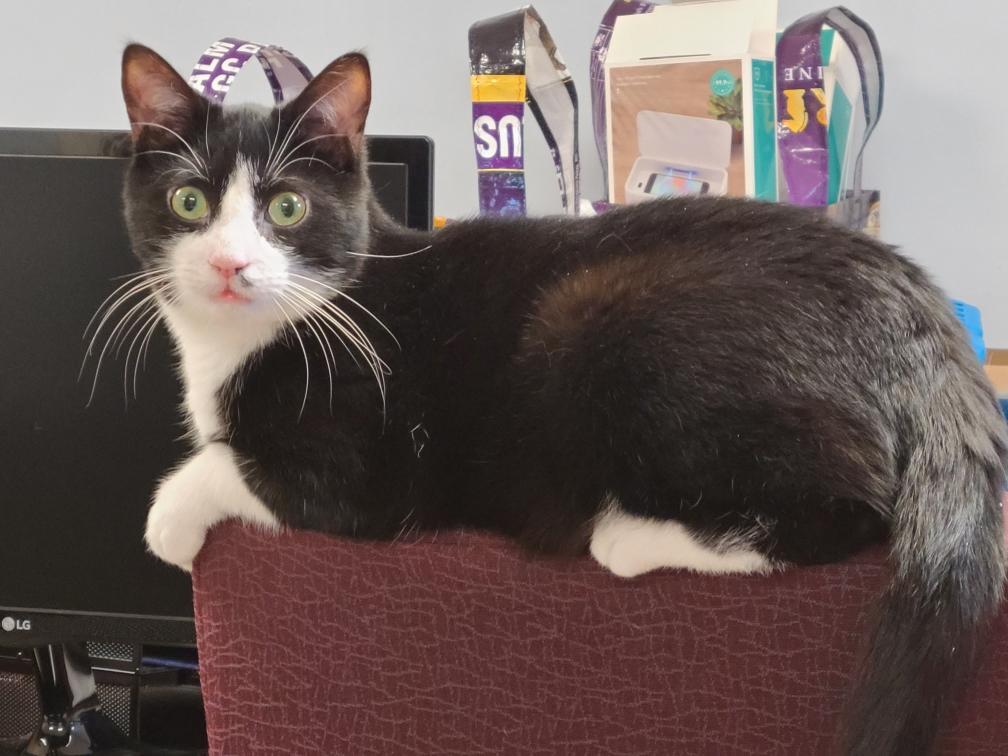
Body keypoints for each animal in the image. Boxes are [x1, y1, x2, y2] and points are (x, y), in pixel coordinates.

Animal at [115, 44, 1005, 755]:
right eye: (190, 203)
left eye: (286, 207)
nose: (230, 265)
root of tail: (924, 319)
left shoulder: (376, 465)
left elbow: (238, 466)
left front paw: (168, 519)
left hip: (605, 317)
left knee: (849, 509)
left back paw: (632, 533)